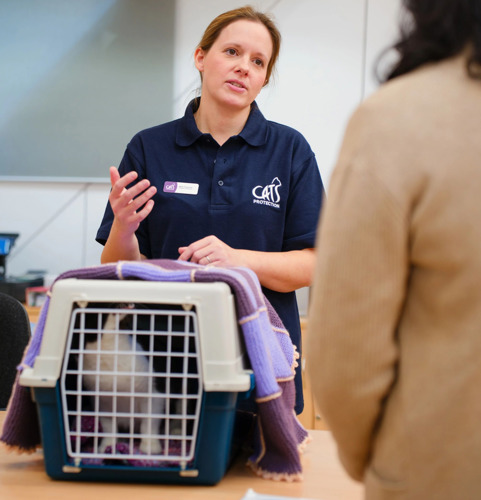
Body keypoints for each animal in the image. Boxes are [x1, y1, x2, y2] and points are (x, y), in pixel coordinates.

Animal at [20, 278, 253, 484]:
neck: (111, 346)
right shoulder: (102, 401)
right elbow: (109, 426)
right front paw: (108, 448)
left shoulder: (154, 395)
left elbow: (149, 423)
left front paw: (150, 449)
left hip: (183, 391)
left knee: (180, 412)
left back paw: (176, 432)